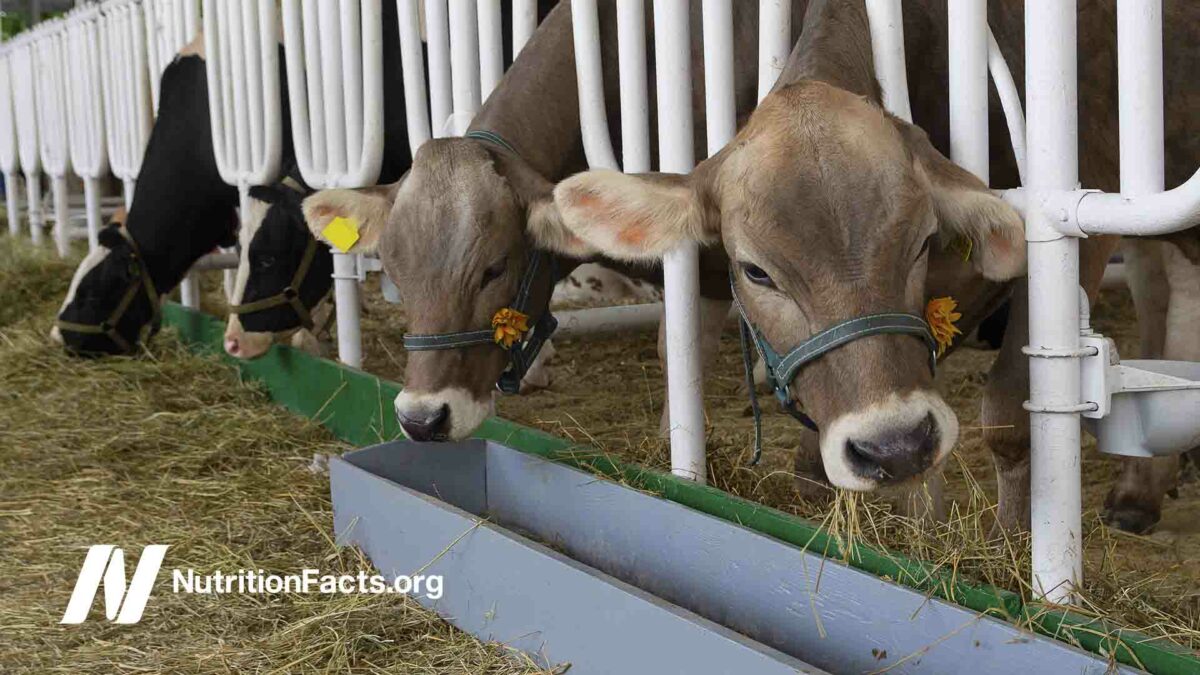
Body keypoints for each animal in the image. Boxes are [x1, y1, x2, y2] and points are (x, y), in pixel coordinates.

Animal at [549, 0, 1195, 530]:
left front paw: (1015, 554)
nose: (895, 446)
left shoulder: (1086, 205)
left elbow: (1008, 418)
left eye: (923, 241)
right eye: (756, 271)